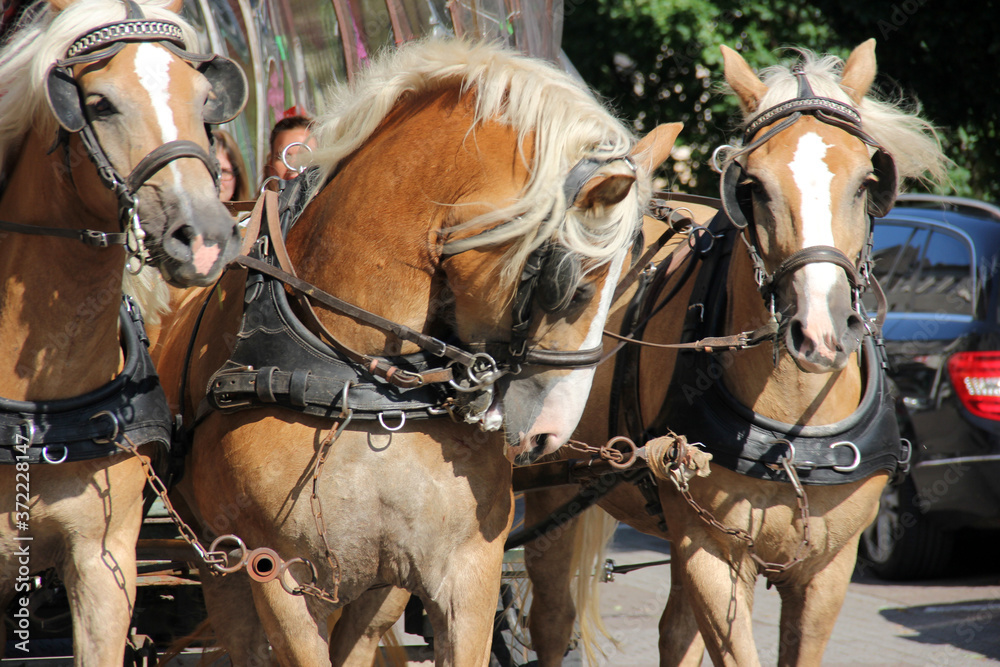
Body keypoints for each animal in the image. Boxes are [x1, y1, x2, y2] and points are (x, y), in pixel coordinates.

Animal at [154, 40, 680, 667]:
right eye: (573, 287)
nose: (550, 436)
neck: (362, 390)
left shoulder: (465, 574)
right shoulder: (279, 580)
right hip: (225, 570)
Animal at [520, 37, 948, 667]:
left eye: (868, 183)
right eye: (752, 188)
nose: (820, 334)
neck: (793, 431)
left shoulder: (828, 567)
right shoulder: (713, 552)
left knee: (673, 632)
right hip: (552, 484)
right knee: (550, 619)